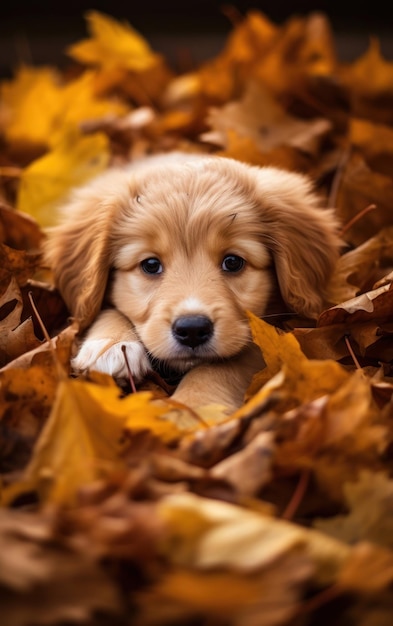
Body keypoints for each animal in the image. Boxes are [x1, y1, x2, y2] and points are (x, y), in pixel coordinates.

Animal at [44, 153, 340, 410]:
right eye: (150, 265)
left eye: (233, 262)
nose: (193, 329)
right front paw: (111, 345)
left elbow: (222, 366)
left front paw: (191, 408)